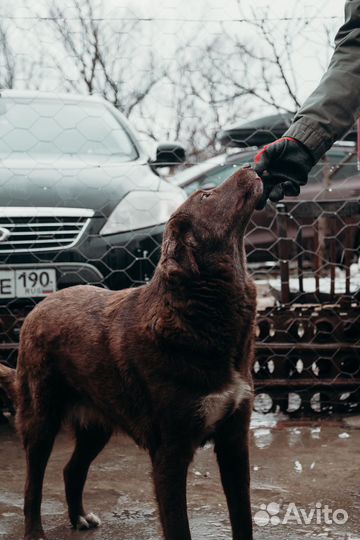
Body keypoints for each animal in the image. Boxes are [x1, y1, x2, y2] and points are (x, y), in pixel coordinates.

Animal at [1, 167, 262, 536]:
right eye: (206, 196)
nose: (251, 167)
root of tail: (39, 307)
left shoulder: (234, 441)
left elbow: (243, 519)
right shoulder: (170, 451)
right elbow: (178, 527)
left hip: (97, 426)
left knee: (71, 470)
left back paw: (79, 517)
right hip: (41, 420)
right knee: (32, 486)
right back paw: (34, 532)